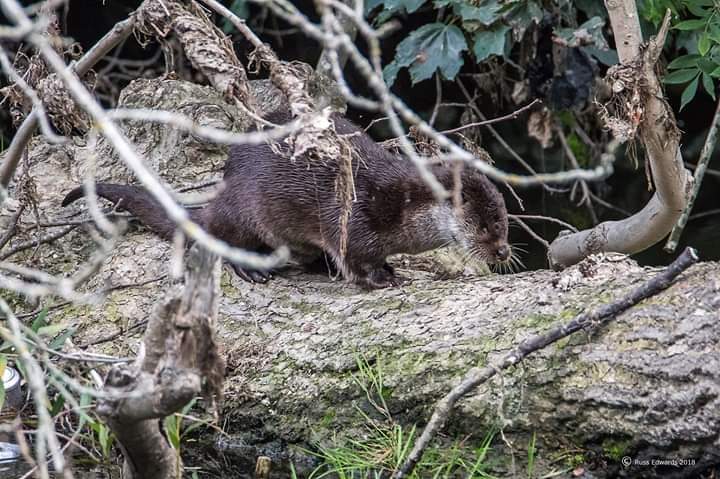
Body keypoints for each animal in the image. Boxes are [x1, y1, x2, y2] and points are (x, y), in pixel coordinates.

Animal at [62, 109, 511, 289]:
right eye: (485, 225)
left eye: (504, 222)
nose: (504, 252)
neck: (398, 202)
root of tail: (222, 191)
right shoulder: (353, 212)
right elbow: (355, 254)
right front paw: (381, 277)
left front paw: (389, 267)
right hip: (246, 211)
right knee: (222, 238)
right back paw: (252, 268)